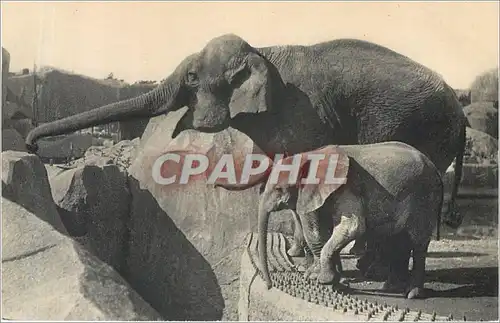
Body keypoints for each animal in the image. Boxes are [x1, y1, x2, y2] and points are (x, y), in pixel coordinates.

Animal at [26, 33, 464, 235]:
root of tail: (461, 110)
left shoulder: (302, 111)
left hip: (422, 126)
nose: (31, 144)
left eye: (191, 77)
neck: (262, 50)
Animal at [258, 143, 442, 300]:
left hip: (424, 198)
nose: (269, 286)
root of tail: (435, 169)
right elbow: (326, 231)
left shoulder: (346, 187)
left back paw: (412, 294)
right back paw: (391, 288)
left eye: (278, 189)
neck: (309, 156)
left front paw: (322, 279)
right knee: (399, 240)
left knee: (417, 243)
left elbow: (352, 226)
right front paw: (336, 281)